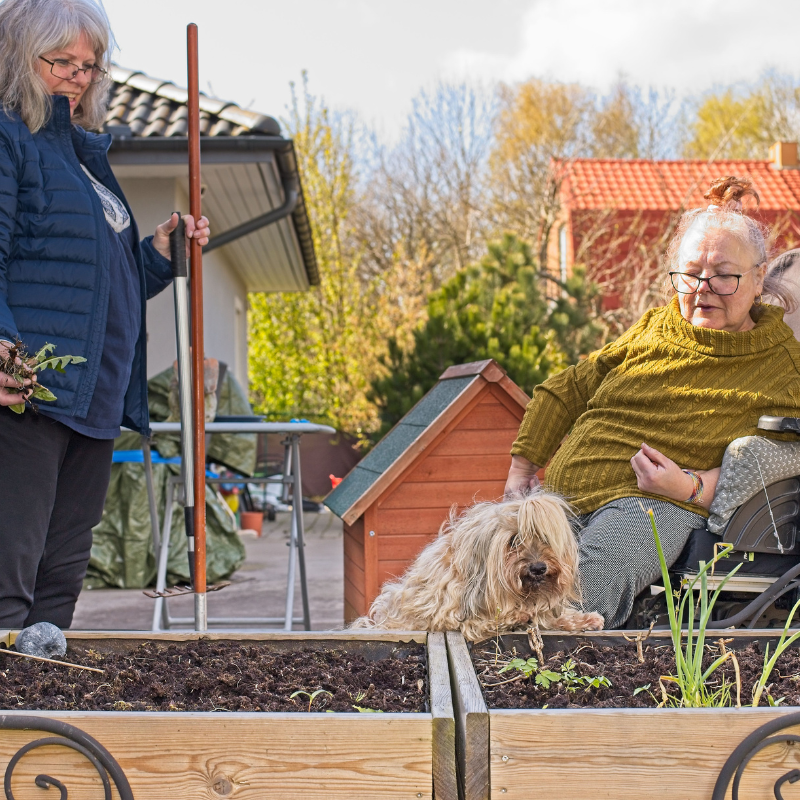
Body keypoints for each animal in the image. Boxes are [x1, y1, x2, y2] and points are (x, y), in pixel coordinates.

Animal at [354, 490, 604, 640]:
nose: (538, 568)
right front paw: (517, 615)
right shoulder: (450, 616)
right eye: (514, 540)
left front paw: (584, 619)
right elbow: (487, 620)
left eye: (545, 538)